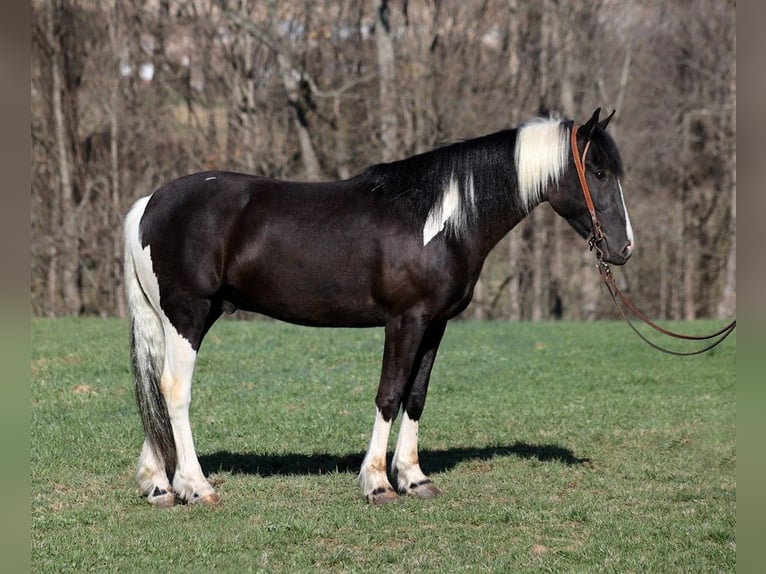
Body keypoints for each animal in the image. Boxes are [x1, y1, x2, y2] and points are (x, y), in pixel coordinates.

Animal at [123, 107, 632, 508]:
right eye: (598, 172)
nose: (624, 248)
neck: (439, 218)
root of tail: (149, 203)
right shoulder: (404, 320)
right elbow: (389, 394)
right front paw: (377, 483)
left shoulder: (434, 324)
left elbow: (416, 396)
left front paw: (414, 478)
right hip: (188, 316)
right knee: (174, 390)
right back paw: (196, 487)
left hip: (181, 318)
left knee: (155, 388)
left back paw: (158, 486)